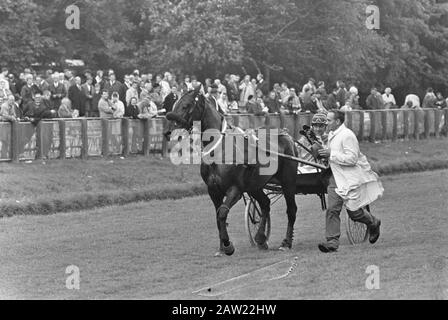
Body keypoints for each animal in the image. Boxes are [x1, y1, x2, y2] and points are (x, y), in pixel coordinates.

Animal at [165, 87, 300, 255]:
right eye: (174, 104)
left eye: (186, 105)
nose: (169, 132)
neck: (218, 150)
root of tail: (287, 135)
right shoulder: (213, 190)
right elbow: (218, 216)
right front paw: (222, 248)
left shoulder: (235, 188)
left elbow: (222, 212)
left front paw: (228, 245)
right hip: (254, 185)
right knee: (265, 203)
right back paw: (261, 238)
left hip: (288, 180)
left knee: (291, 209)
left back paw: (286, 242)